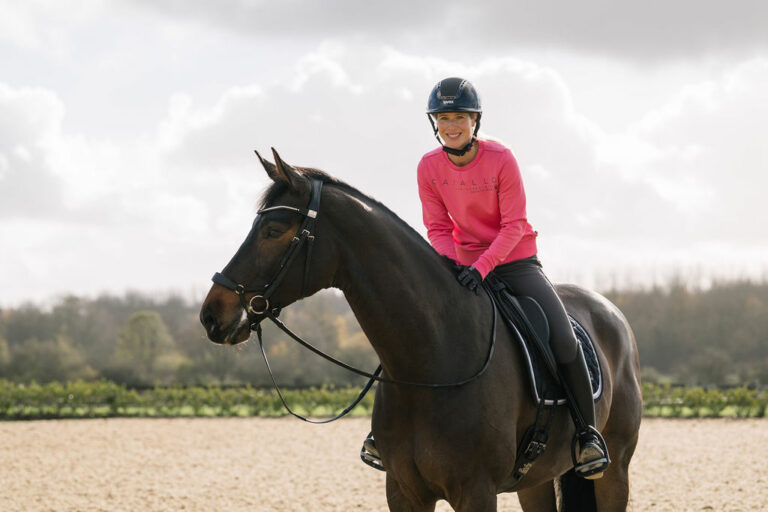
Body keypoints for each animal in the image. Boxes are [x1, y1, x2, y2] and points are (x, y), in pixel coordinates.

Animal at [199, 149, 642, 512]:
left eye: (273, 232)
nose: (211, 315)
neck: (432, 355)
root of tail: (612, 312)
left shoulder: (476, 493)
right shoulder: (403, 491)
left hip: (613, 473)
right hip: (535, 482)